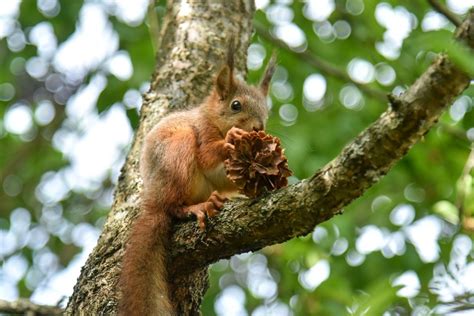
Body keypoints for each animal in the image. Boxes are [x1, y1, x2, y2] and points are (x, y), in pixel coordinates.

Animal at [118, 45, 278, 316]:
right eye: (236, 105)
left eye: (266, 111)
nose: (259, 128)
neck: (213, 119)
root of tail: (153, 202)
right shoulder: (202, 129)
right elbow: (206, 155)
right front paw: (232, 139)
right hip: (177, 152)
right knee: (173, 207)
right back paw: (196, 208)